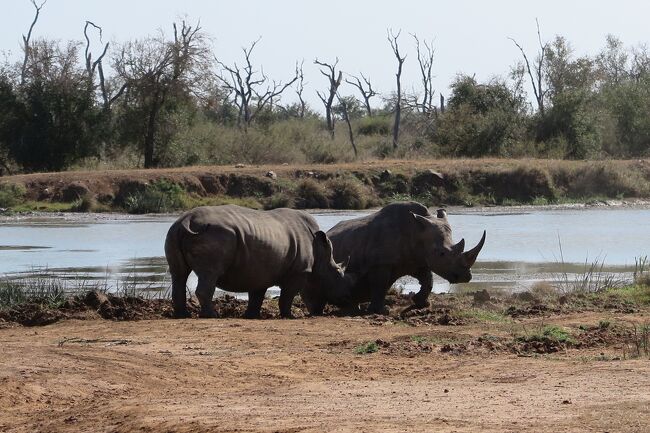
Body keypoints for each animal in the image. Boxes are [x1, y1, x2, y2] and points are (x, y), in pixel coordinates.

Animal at [165, 202, 352, 318]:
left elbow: (257, 295)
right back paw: (211, 316)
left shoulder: (260, 269)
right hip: (215, 235)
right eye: (337, 273)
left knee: (179, 274)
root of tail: (186, 220)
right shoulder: (299, 271)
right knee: (210, 273)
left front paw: (251, 316)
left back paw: (183, 315)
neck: (320, 251)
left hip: (173, 231)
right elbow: (287, 295)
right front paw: (289, 316)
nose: (346, 299)